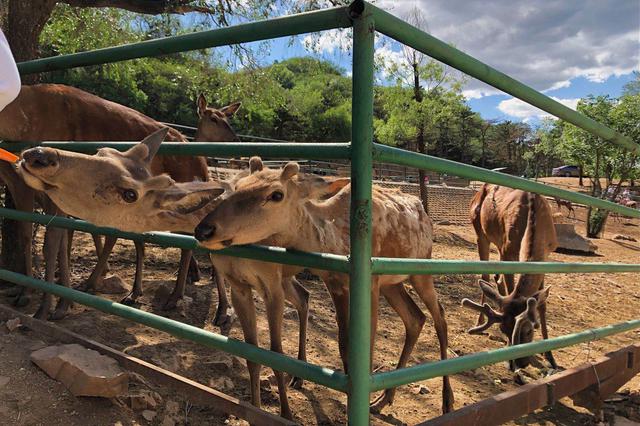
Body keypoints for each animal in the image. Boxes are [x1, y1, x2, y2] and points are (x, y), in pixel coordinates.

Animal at [0, 83, 238, 318]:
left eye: (226, 118)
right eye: (214, 119)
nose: (234, 138)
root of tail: (202, 162)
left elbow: (52, 241)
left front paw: (51, 306)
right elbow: (34, 235)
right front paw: (33, 294)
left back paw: (190, 300)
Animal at [18, 136, 316, 420]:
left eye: (130, 193)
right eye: (102, 151)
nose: (39, 156)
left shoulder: (271, 282)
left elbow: (274, 353)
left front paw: (285, 414)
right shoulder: (243, 282)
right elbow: (253, 353)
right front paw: (255, 408)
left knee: (304, 296)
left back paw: (298, 375)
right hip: (286, 280)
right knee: (303, 294)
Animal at [195, 158, 456, 414]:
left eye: (276, 194)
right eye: (238, 186)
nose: (204, 229)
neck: (335, 240)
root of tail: (424, 211)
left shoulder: (369, 283)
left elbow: (367, 346)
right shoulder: (334, 281)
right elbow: (343, 345)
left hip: (421, 269)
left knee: (440, 317)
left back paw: (446, 400)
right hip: (392, 284)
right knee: (415, 318)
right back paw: (384, 398)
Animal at [462, 184, 556, 370]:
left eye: (529, 330)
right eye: (503, 330)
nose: (520, 363)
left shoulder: (546, 256)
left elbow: (542, 304)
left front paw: (549, 355)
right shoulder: (508, 250)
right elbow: (512, 288)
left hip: (498, 243)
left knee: (497, 278)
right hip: (480, 232)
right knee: (486, 275)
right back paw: (479, 322)